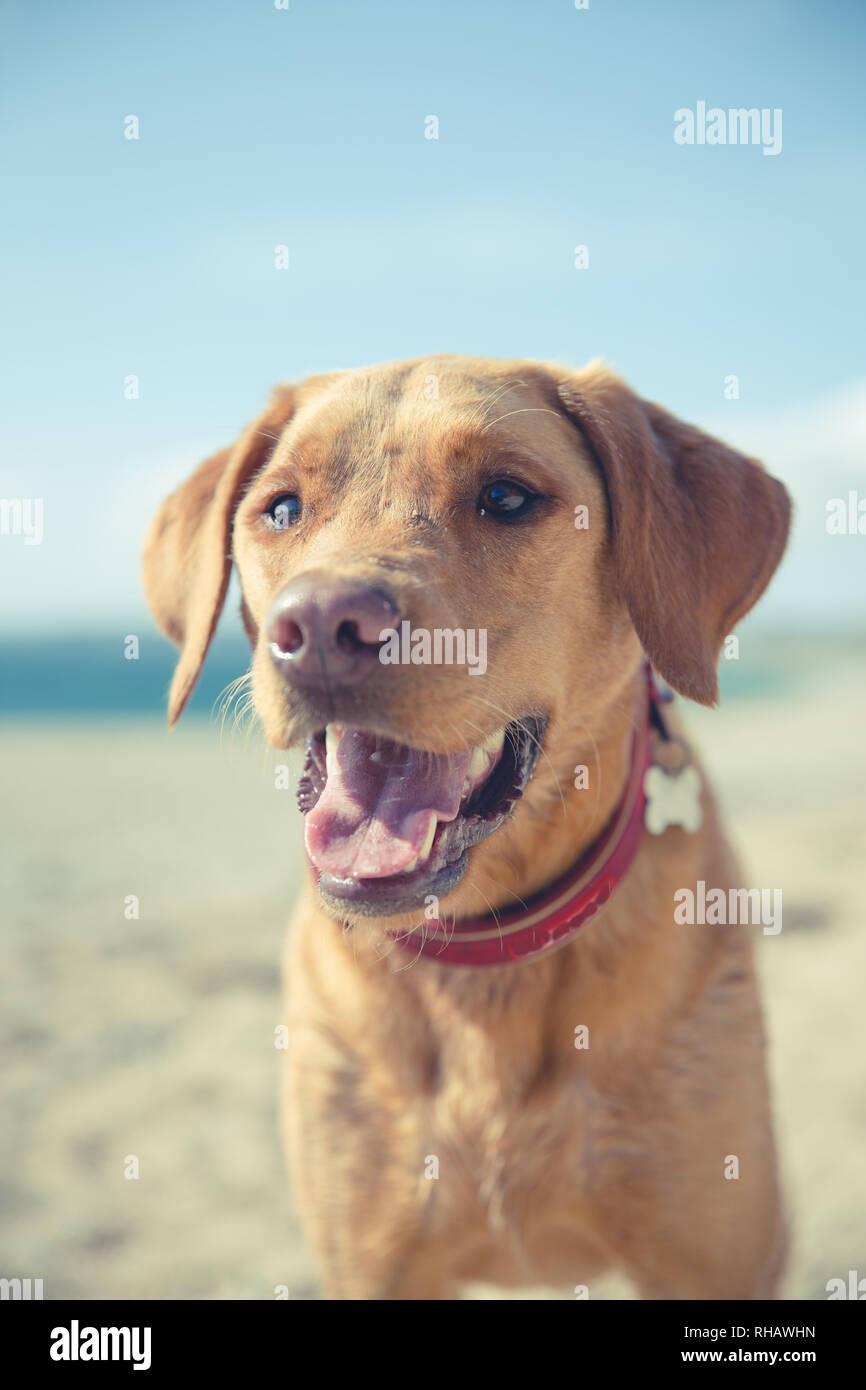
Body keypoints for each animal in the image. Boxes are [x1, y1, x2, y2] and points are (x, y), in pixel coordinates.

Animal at [142, 355, 795, 1301]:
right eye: (283, 508)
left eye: (506, 496)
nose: (322, 627)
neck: (486, 956)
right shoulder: (373, 1265)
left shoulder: (717, 1260)